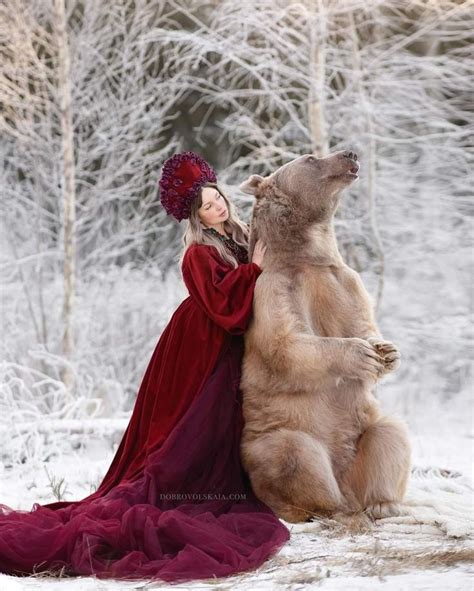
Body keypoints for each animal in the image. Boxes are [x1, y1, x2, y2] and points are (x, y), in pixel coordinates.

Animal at [239, 150, 412, 524]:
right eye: (310, 157)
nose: (351, 153)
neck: (308, 257)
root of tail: (346, 489)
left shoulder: (346, 281)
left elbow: (363, 322)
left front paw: (387, 351)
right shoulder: (273, 287)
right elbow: (286, 342)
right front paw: (360, 354)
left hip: (362, 437)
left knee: (390, 434)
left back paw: (383, 503)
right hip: (275, 436)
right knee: (291, 453)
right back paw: (316, 508)